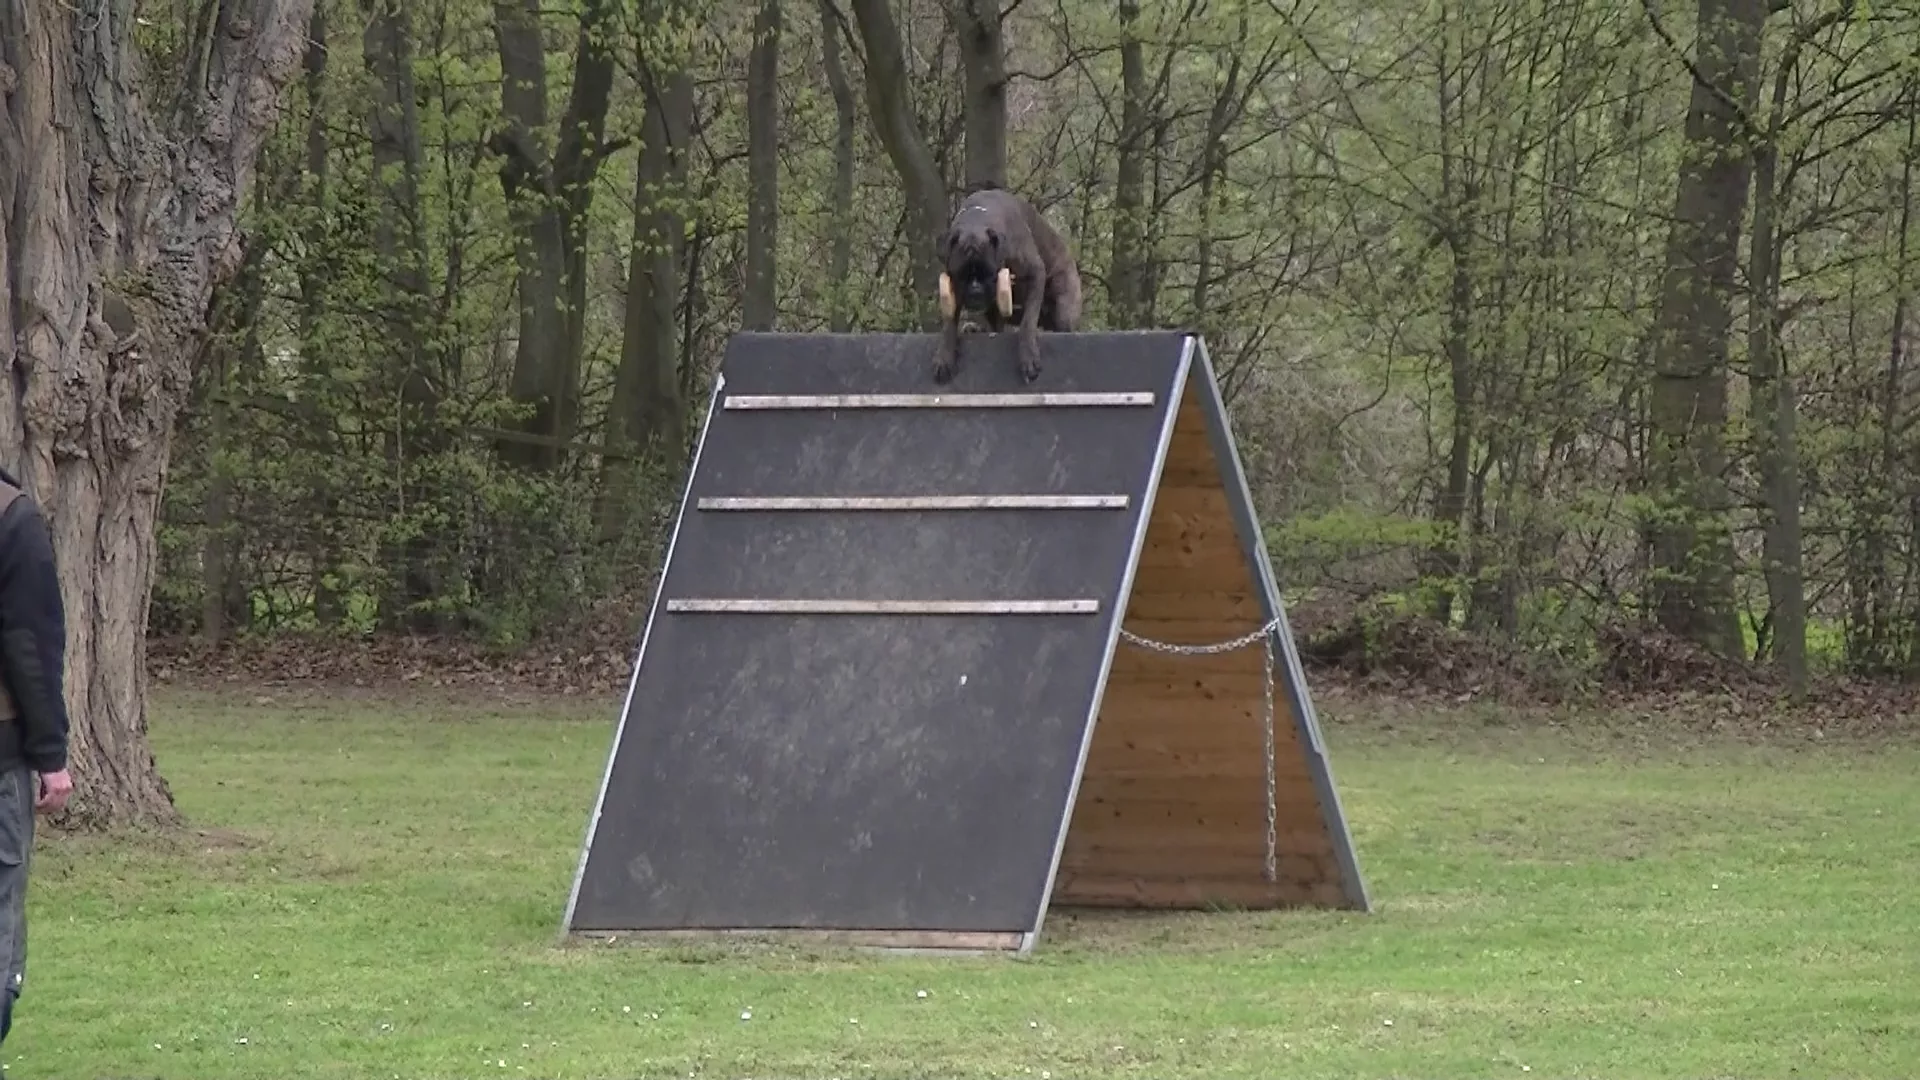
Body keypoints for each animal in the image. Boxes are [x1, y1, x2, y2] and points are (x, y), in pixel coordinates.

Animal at [932, 188, 1083, 383]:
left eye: (990, 273)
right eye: (961, 275)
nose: (975, 290)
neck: (977, 220)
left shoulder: (1035, 273)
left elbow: (1028, 322)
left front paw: (1028, 356)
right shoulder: (953, 290)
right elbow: (949, 323)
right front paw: (944, 356)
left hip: (1064, 302)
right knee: (997, 327)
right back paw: (976, 329)